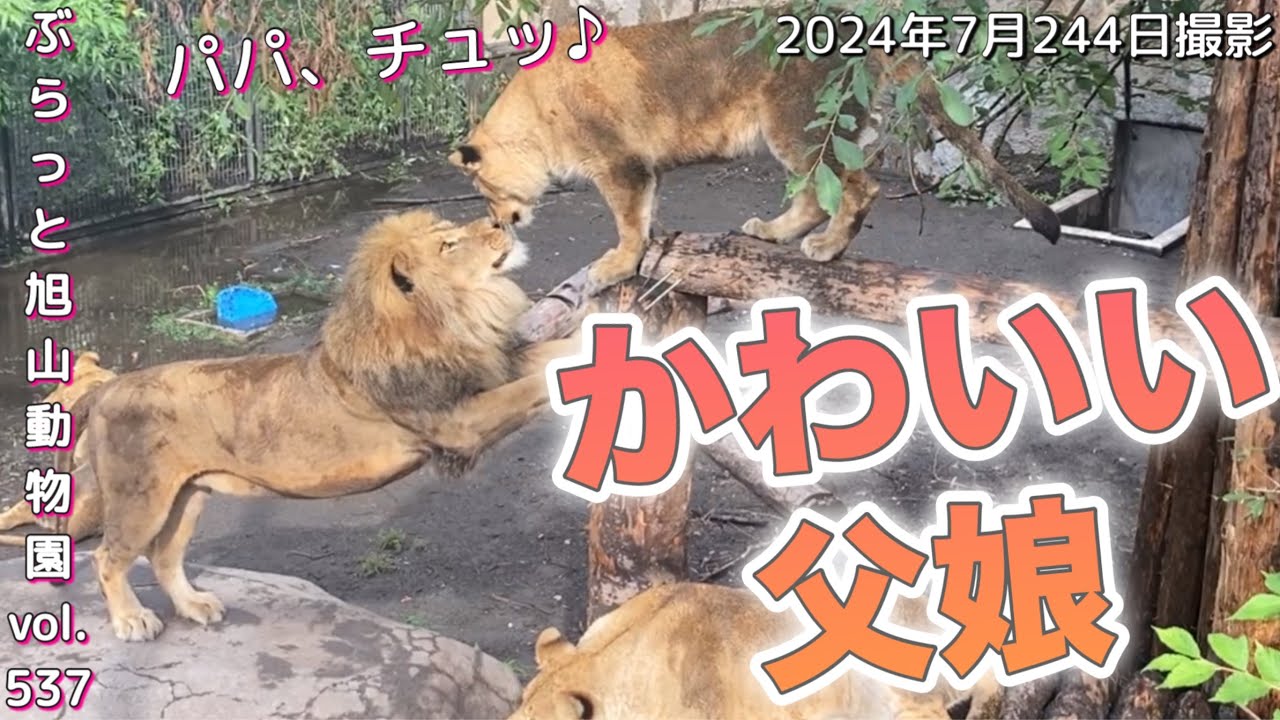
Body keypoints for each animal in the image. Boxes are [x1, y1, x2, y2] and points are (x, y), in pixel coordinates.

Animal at [55, 209, 578, 643]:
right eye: (449, 244)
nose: (503, 221)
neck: (456, 316)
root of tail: (107, 388)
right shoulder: (457, 421)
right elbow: (535, 382)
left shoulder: (486, 372)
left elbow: (546, 356)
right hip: (139, 499)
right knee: (108, 558)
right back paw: (132, 620)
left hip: (187, 495)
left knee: (163, 556)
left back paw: (195, 606)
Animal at [449, 11, 1061, 289]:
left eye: (484, 190)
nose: (500, 221)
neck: (534, 117)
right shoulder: (644, 170)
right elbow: (646, 216)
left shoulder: (621, 165)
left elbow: (626, 223)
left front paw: (616, 264)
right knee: (817, 192)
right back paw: (772, 232)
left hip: (795, 120)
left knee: (857, 187)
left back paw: (826, 249)